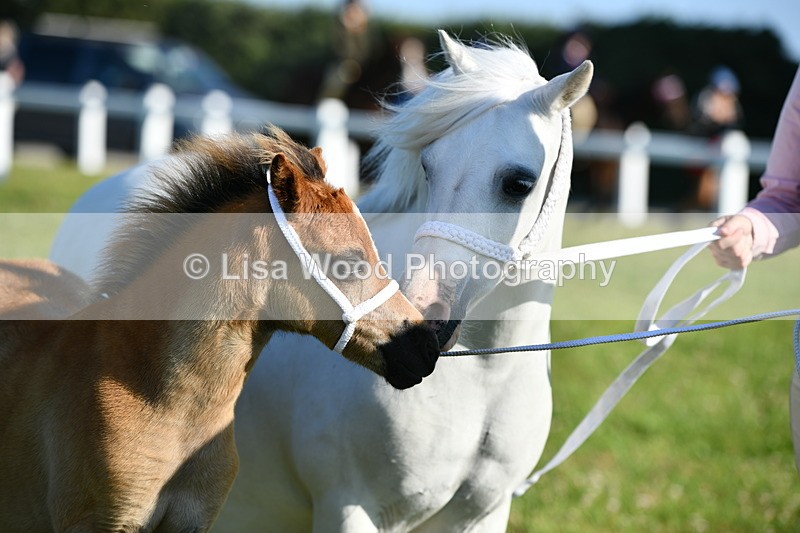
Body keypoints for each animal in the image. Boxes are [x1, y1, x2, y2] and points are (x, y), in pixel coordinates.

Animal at [50, 32, 592, 530]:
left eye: (519, 182)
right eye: (428, 166)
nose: (425, 318)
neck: (481, 380)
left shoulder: (482, 515)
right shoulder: (350, 507)